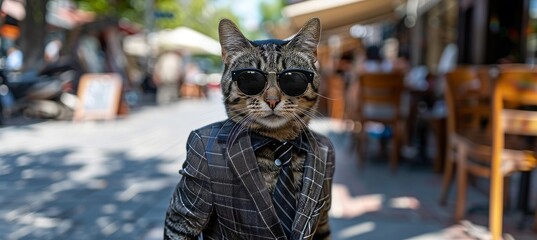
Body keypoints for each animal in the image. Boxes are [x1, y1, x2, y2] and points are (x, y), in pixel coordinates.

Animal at [163, 17, 332, 239]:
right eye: (251, 79)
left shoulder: (323, 218)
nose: (272, 100)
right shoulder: (183, 214)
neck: (278, 142)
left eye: (293, 79)